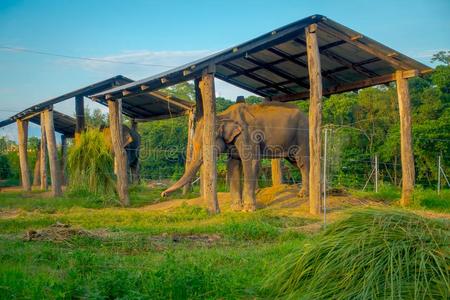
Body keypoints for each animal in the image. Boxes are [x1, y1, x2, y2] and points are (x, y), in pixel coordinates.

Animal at [162, 102, 310, 212]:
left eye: (205, 143)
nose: (163, 194)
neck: (222, 115)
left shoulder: (247, 135)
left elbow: (250, 162)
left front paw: (248, 209)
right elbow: (233, 165)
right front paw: (236, 208)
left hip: (302, 133)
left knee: (303, 161)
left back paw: (303, 194)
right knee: (296, 162)